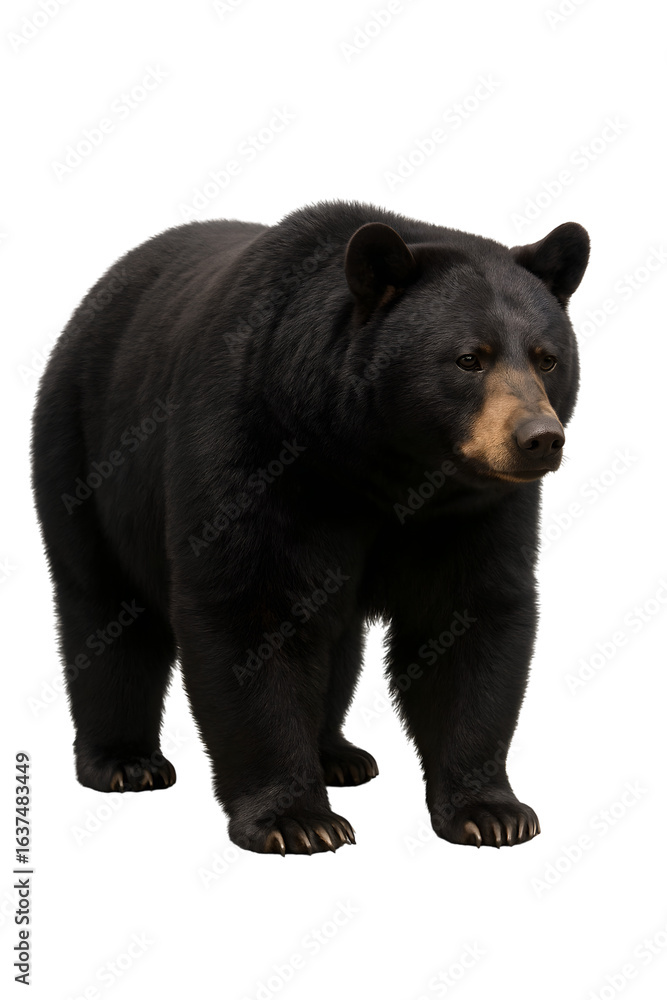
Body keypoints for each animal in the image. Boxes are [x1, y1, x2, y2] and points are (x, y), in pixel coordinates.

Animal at [31, 200, 589, 854]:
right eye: (469, 358)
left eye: (547, 358)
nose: (539, 438)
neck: (378, 464)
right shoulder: (254, 445)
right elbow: (253, 607)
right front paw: (295, 820)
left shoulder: (474, 508)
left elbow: (470, 616)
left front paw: (492, 812)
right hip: (84, 450)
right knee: (105, 608)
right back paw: (125, 761)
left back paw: (339, 755)